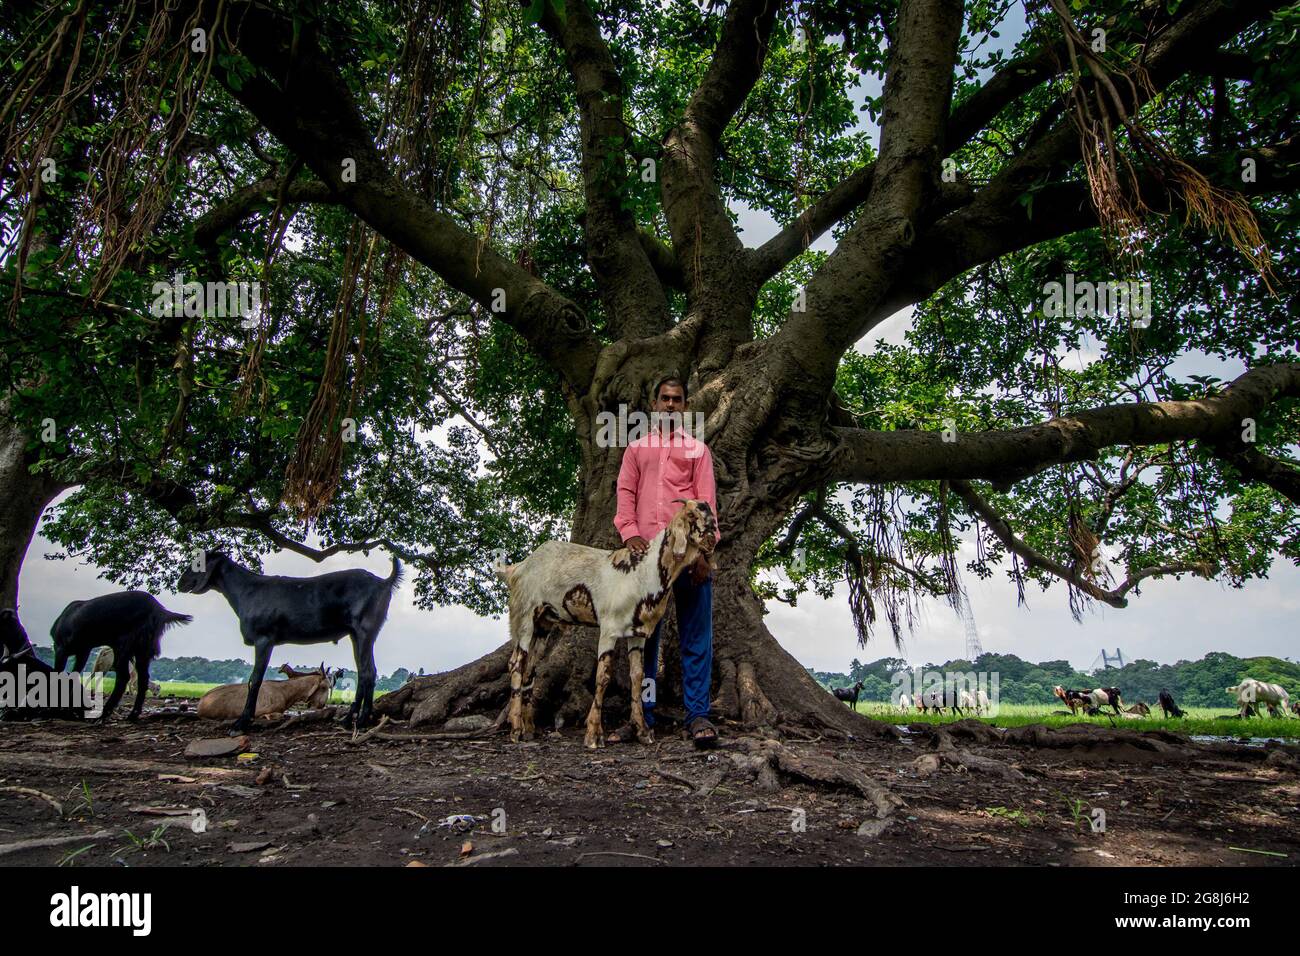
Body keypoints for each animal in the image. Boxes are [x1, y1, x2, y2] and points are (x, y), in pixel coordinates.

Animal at [50, 587, 189, 723]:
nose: (157, 695)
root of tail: (159, 609)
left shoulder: (61, 648)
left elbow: (59, 674)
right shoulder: (81, 652)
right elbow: (72, 675)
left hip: (124, 644)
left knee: (122, 676)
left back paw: (104, 713)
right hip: (142, 648)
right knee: (141, 677)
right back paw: (132, 714)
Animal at [176, 548, 400, 728]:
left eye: (198, 562)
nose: (181, 582)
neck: (247, 590)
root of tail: (384, 582)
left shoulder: (264, 638)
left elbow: (255, 679)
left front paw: (242, 722)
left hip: (365, 629)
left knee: (368, 672)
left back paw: (361, 721)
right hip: (355, 633)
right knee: (363, 672)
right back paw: (348, 720)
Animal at [496, 496, 722, 749]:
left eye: (710, 512)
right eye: (691, 515)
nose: (712, 538)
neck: (643, 571)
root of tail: (517, 568)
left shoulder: (637, 634)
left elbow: (638, 678)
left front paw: (642, 731)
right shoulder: (609, 630)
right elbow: (602, 677)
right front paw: (593, 734)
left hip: (543, 623)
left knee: (530, 668)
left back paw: (528, 729)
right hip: (524, 617)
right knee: (516, 663)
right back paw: (515, 729)